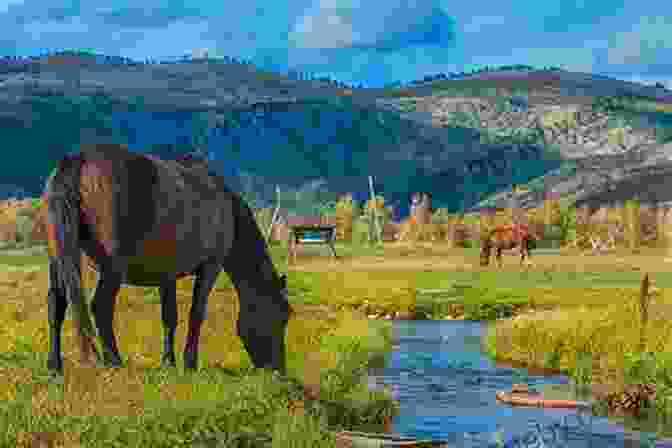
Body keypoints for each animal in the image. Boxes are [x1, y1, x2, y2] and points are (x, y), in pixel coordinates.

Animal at [43, 144, 292, 374]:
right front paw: (189, 363)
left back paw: (55, 366)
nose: (278, 370)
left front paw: (169, 362)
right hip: (112, 269)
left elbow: (169, 317)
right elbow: (196, 314)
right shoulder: (210, 267)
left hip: (57, 261)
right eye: (282, 315)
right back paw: (114, 361)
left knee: (56, 304)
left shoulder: (167, 275)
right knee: (101, 307)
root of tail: (80, 158)